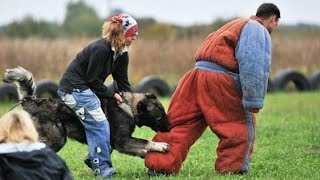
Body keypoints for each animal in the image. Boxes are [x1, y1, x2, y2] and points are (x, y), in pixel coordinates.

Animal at [2, 66, 171, 158]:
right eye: (159, 117)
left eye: (164, 114)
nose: (170, 128)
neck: (128, 107)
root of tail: (33, 102)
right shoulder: (121, 141)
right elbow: (145, 141)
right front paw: (161, 145)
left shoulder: (121, 144)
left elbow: (140, 149)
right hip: (56, 140)